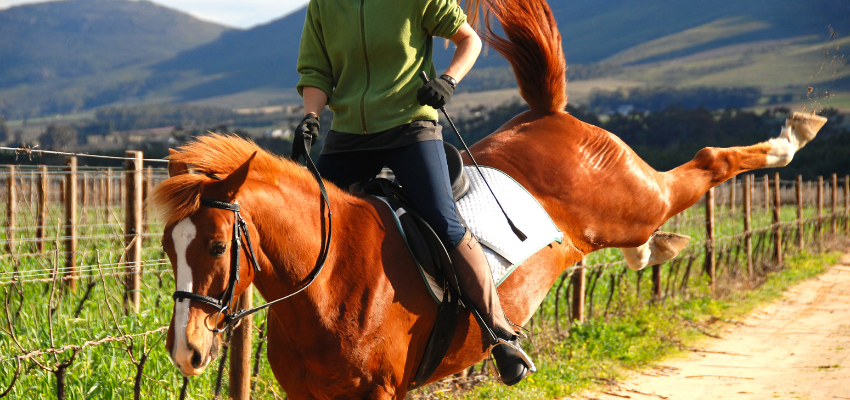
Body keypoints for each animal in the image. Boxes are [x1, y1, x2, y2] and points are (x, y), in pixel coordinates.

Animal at [151, 0, 820, 396]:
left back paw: (793, 135)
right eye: (166, 249)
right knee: (649, 232)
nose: (186, 351)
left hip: (633, 198)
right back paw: (658, 251)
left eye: (216, 246)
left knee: (706, 164)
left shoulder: (378, 392)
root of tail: (548, 115)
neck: (332, 277)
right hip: (622, 219)